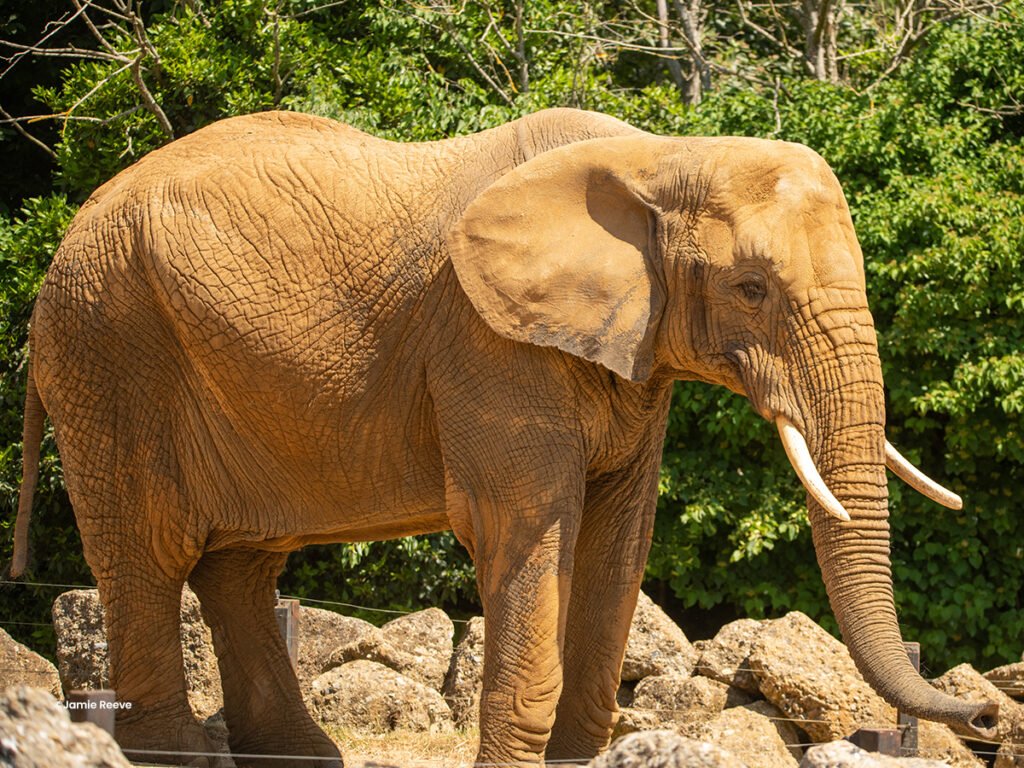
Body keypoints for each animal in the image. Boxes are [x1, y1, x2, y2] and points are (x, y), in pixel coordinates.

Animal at [12, 107, 997, 766]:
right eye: (752, 289)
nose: (986, 718)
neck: (659, 154)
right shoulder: (488, 343)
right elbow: (527, 528)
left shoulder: (631, 359)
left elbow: (618, 543)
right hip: (109, 348)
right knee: (150, 551)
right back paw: (172, 752)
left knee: (241, 565)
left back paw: (299, 756)